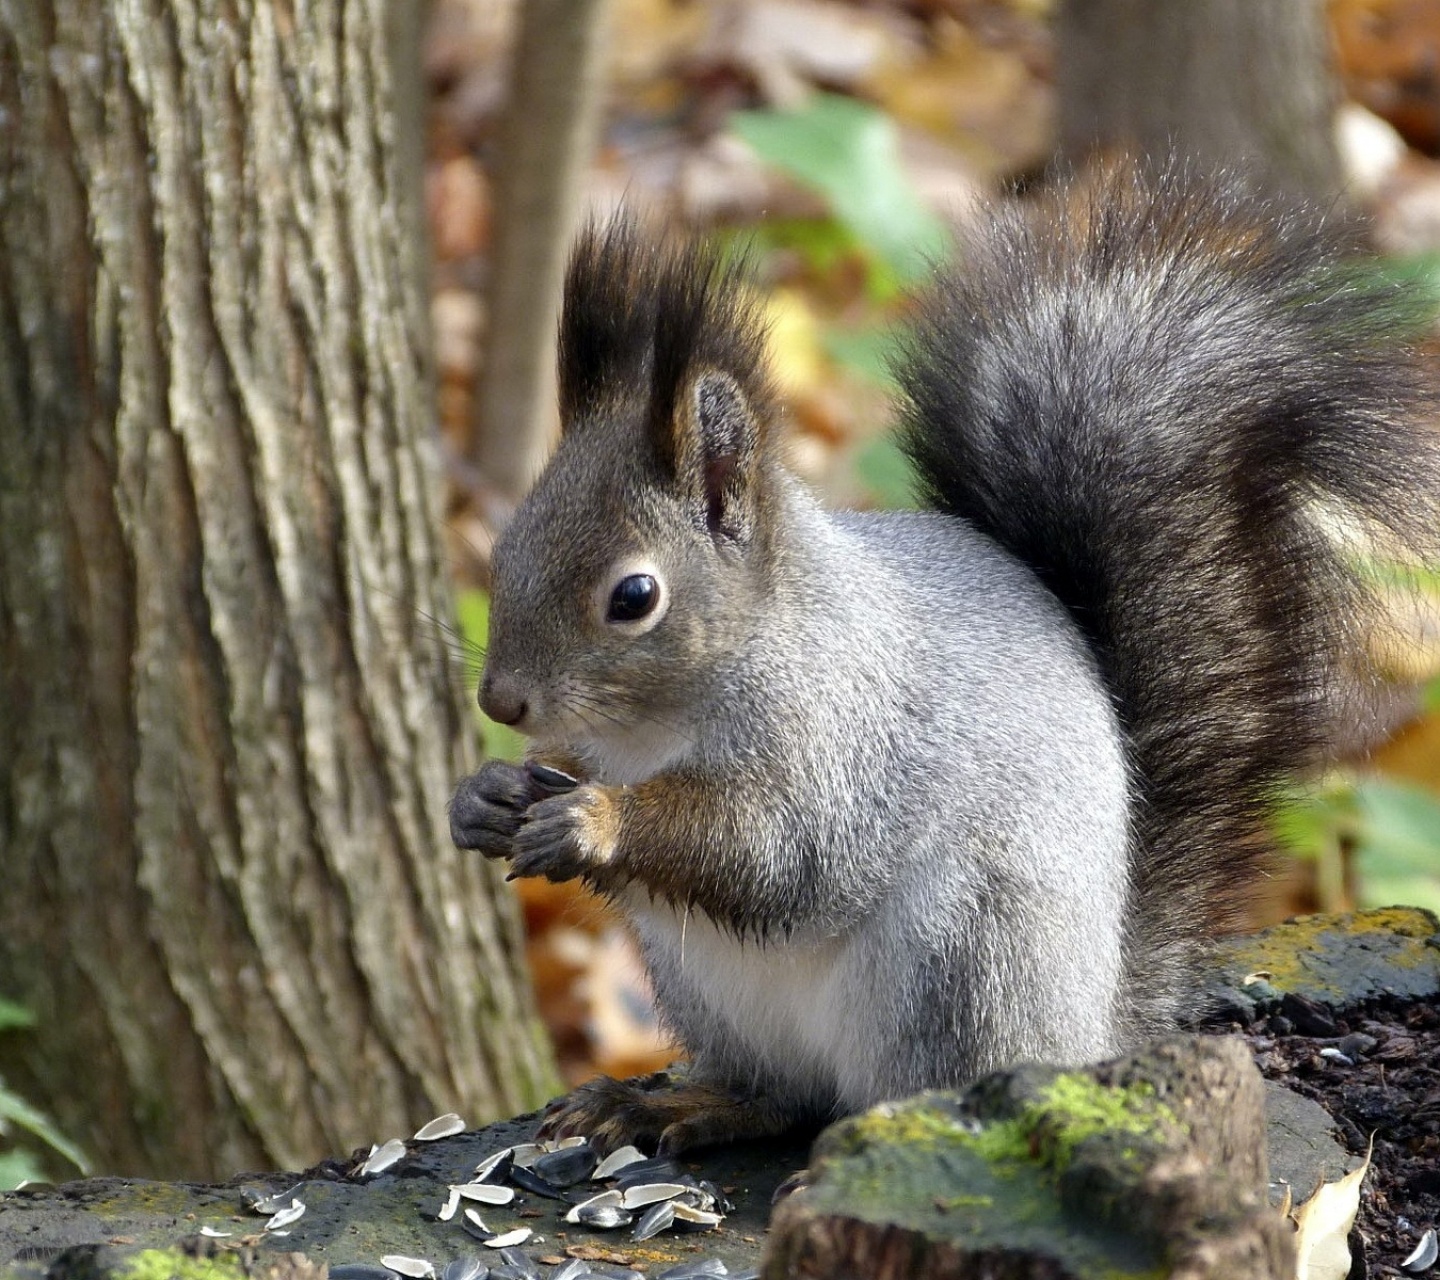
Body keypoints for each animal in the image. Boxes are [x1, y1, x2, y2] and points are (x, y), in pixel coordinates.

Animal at [449, 164, 1440, 1151]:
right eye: (507, 547)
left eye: (634, 598)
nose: (501, 704)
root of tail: (1088, 1030)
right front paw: (488, 797)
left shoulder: (837, 738)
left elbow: (774, 849)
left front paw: (594, 821)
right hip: (710, 989)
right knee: (782, 1096)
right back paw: (681, 1103)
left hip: (959, 957)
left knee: (906, 1096)